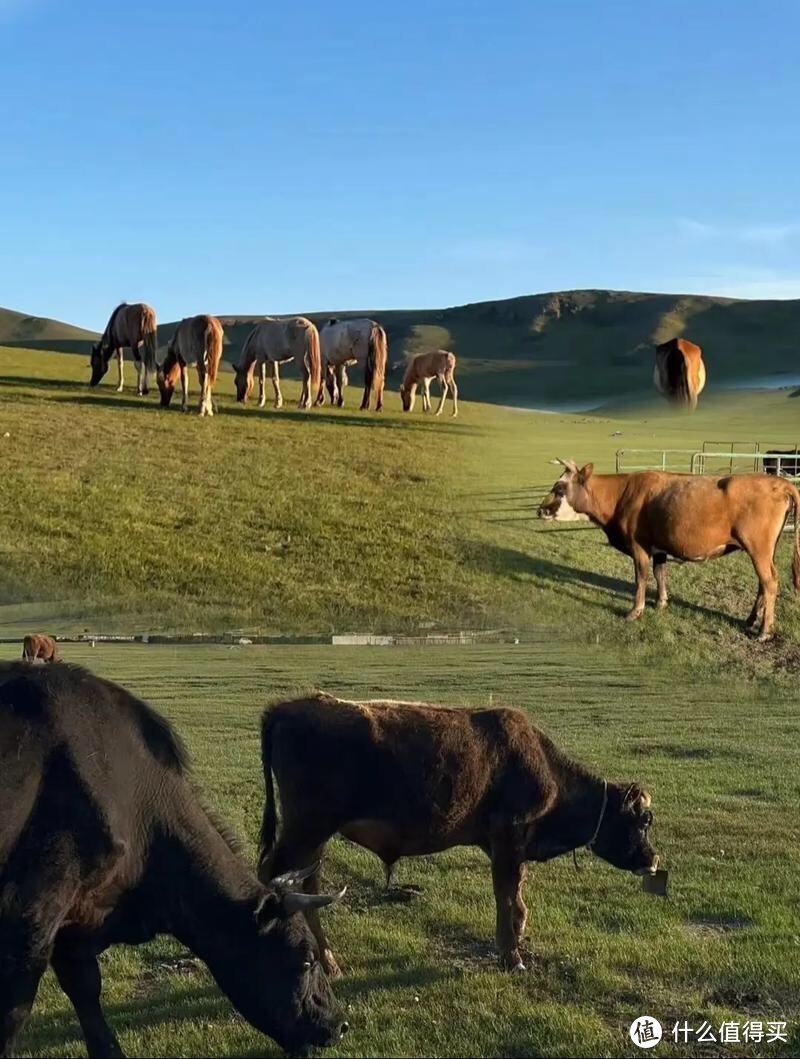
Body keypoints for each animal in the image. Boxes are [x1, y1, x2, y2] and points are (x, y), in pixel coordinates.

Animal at [0, 665, 349, 1054]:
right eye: (305, 959)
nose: (339, 1023)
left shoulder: (78, 918)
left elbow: (86, 990)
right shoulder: (32, 910)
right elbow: (14, 1012)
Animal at [259, 686, 661, 974]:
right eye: (643, 821)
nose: (653, 859)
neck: (545, 769)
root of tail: (287, 707)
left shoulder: (507, 847)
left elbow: (515, 896)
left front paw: (516, 938)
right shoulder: (508, 837)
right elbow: (507, 896)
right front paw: (512, 956)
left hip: (313, 838)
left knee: (304, 885)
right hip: (306, 830)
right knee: (283, 882)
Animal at [538, 459, 800, 639]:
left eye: (560, 489)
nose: (540, 510)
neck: (622, 494)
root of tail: (779, 483)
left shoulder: (639, 545)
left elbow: (641, 577)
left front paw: (635, 611)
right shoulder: (659, 546)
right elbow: (659, 573)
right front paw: (661, 603)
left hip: (758, 548)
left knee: (769, 582)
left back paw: (764, 631)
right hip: (766, 550)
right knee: (763, 584)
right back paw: (750, 620)